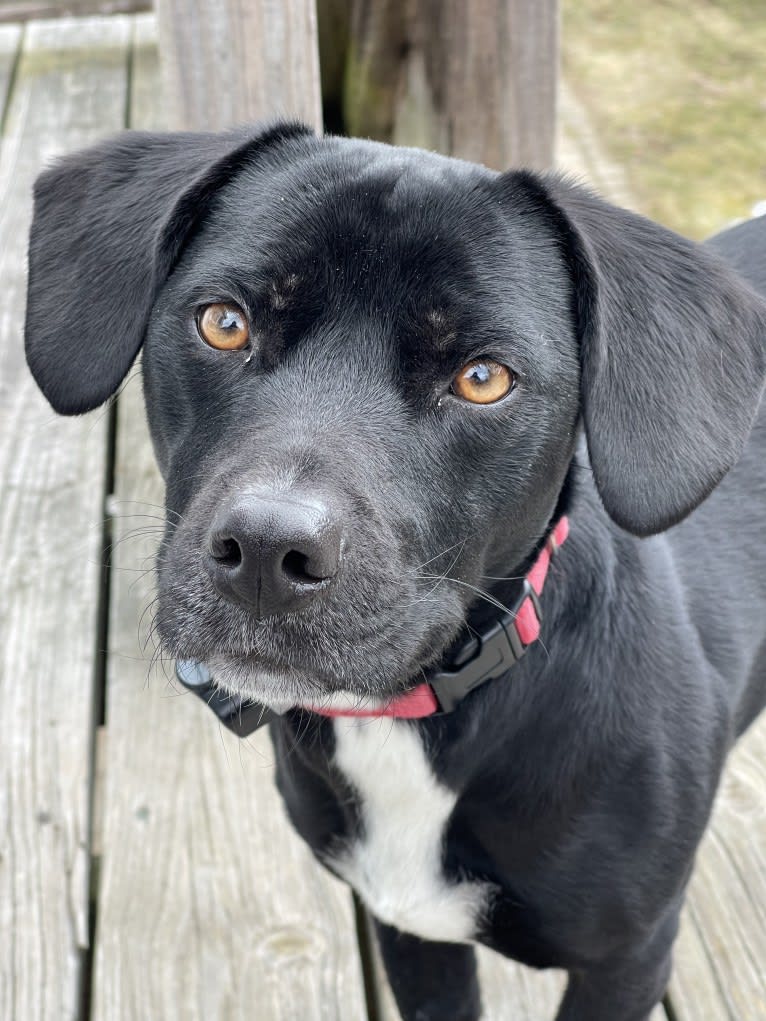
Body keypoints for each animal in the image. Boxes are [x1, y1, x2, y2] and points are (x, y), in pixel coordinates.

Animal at [24, 125, 766, 1021]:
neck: (411, 723)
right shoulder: (410, 931)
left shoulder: (628, 961)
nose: (267, 552)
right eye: (224, 323)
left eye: (483, 377)